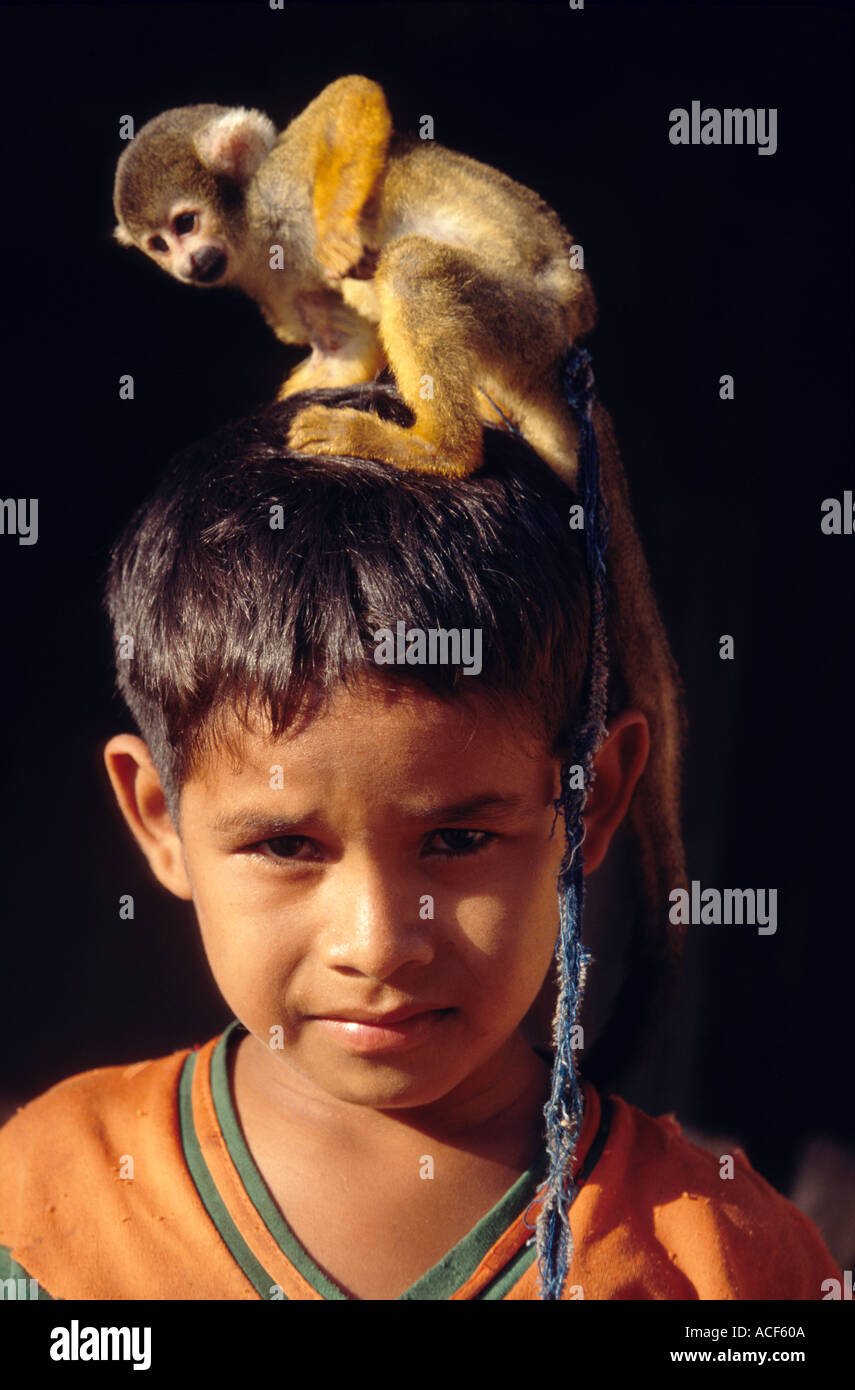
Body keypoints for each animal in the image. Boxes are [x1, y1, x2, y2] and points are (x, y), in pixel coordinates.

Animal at [111, 78, 595, 489]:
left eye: (186, 223)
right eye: (159, 244)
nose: (188, 264)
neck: (251, 233)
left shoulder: (274, 185)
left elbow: (347, 101)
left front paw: (332, 236)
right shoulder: (273, 284)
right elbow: (344, 349)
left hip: (533, 322)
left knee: (411, 265)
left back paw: (438, 448)